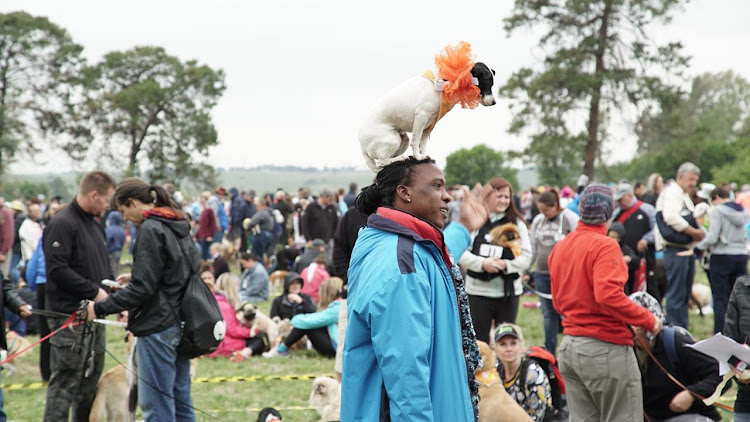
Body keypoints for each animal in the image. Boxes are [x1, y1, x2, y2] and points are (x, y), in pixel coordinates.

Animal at [360, 40, 496, 171]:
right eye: (488, 84)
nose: (494, 102)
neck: (449, 81)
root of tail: (362, 146)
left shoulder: (429, 123)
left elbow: (423, 142)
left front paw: (424, 155)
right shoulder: (421, 116)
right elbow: (416, 140)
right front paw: (418, 157)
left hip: (403, 140)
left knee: (386, 161)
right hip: (393, 139)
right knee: (382, 162)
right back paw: (400, 158)